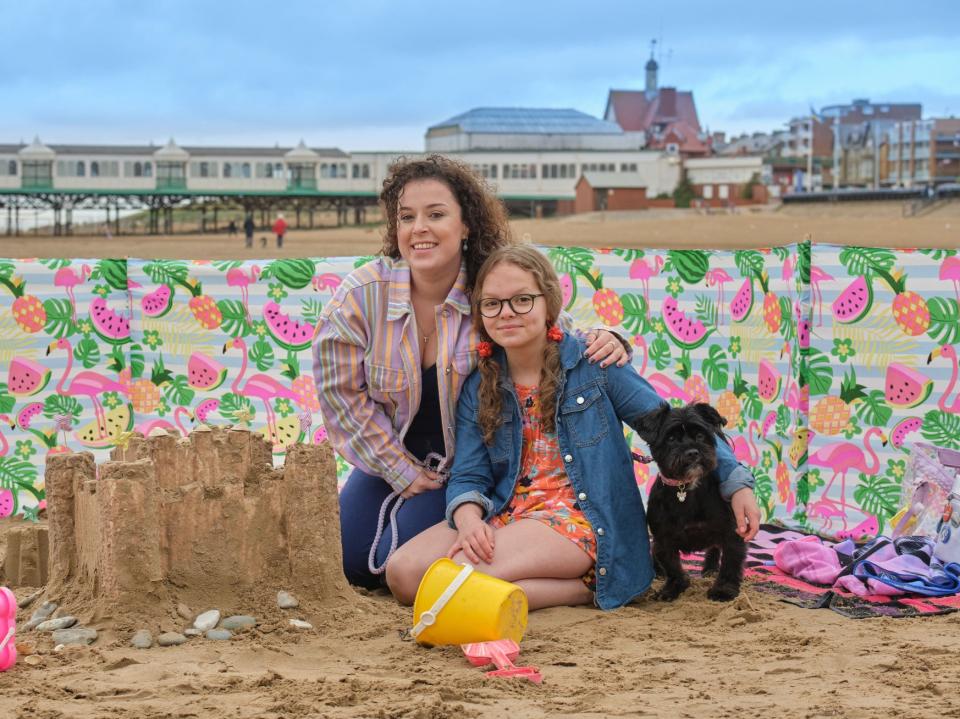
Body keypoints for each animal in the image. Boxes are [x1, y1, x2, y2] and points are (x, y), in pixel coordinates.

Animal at [636, 404, 752, 600]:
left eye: (700, 435)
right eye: (671, 438)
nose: (692, 452)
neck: (686, 486)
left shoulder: (732, 531)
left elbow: (731, 562)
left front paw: (723, 590)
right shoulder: (663, 538)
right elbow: (673, 566)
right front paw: (673, 588)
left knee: (714, 548)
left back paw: (710, 569)